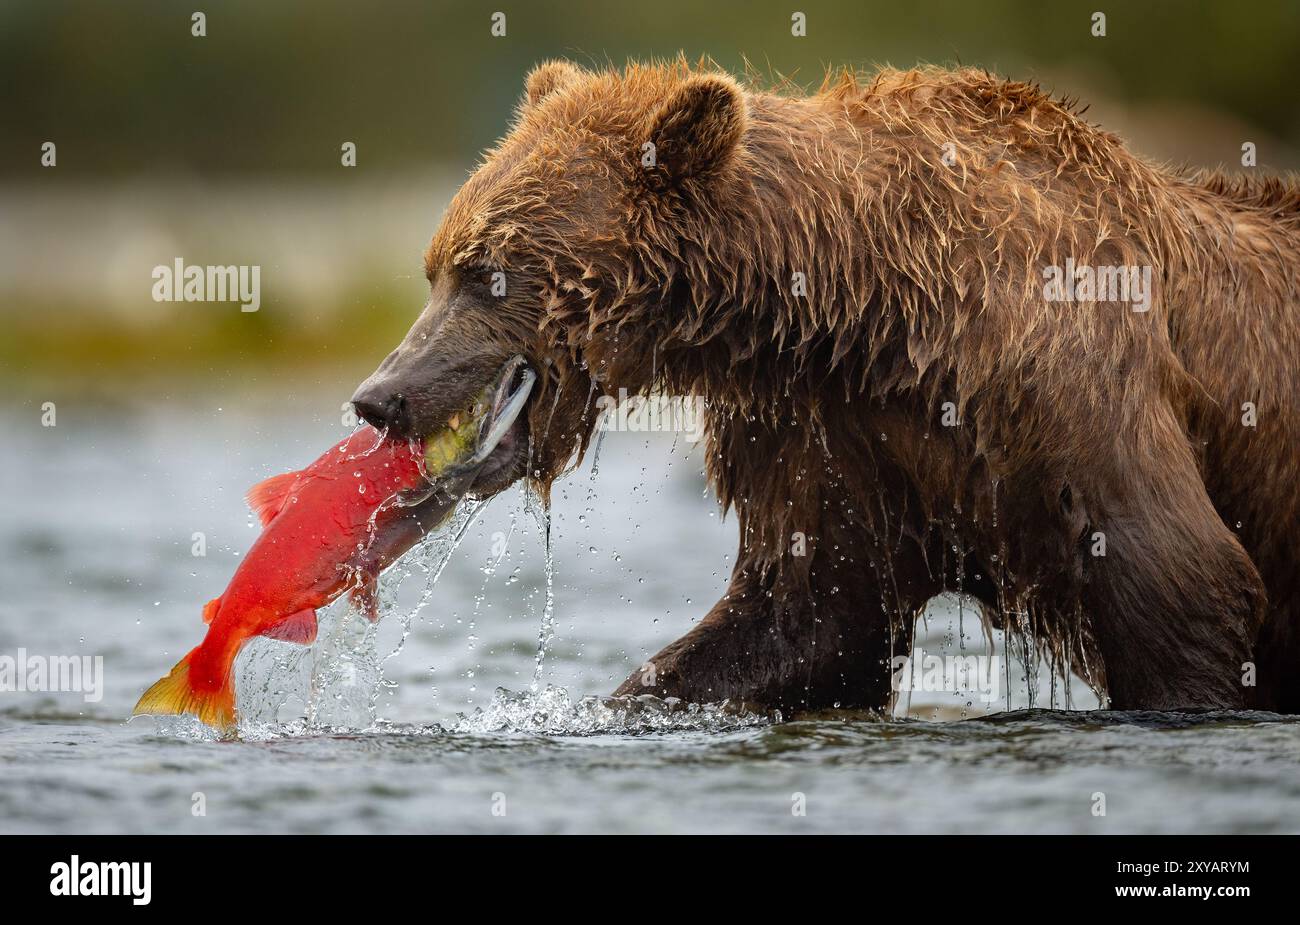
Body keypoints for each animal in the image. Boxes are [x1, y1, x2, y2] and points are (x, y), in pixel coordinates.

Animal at [351, 59, 1300, 715]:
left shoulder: (1066, 392)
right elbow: (804, 621)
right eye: (436, 265)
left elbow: (1182, 584)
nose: (379, 395)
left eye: (489, 271)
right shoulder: (829, 428)